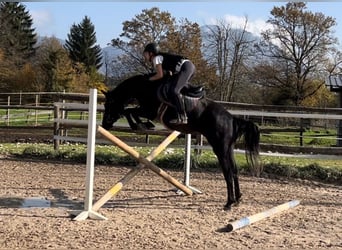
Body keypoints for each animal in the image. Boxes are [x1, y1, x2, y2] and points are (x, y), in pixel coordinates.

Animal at [101, 74, 260, 211]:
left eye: (108, 105)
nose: (104, 125)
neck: (146, 87)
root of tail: (231, 119)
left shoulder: (149, 111)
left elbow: (129, 111)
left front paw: (141, 125)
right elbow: (130, 111)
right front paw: (145, 125)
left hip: (220, 148)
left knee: (228, 172)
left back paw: (229, 203)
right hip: (229, 148)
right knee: (234, 170)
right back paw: (238, 199)